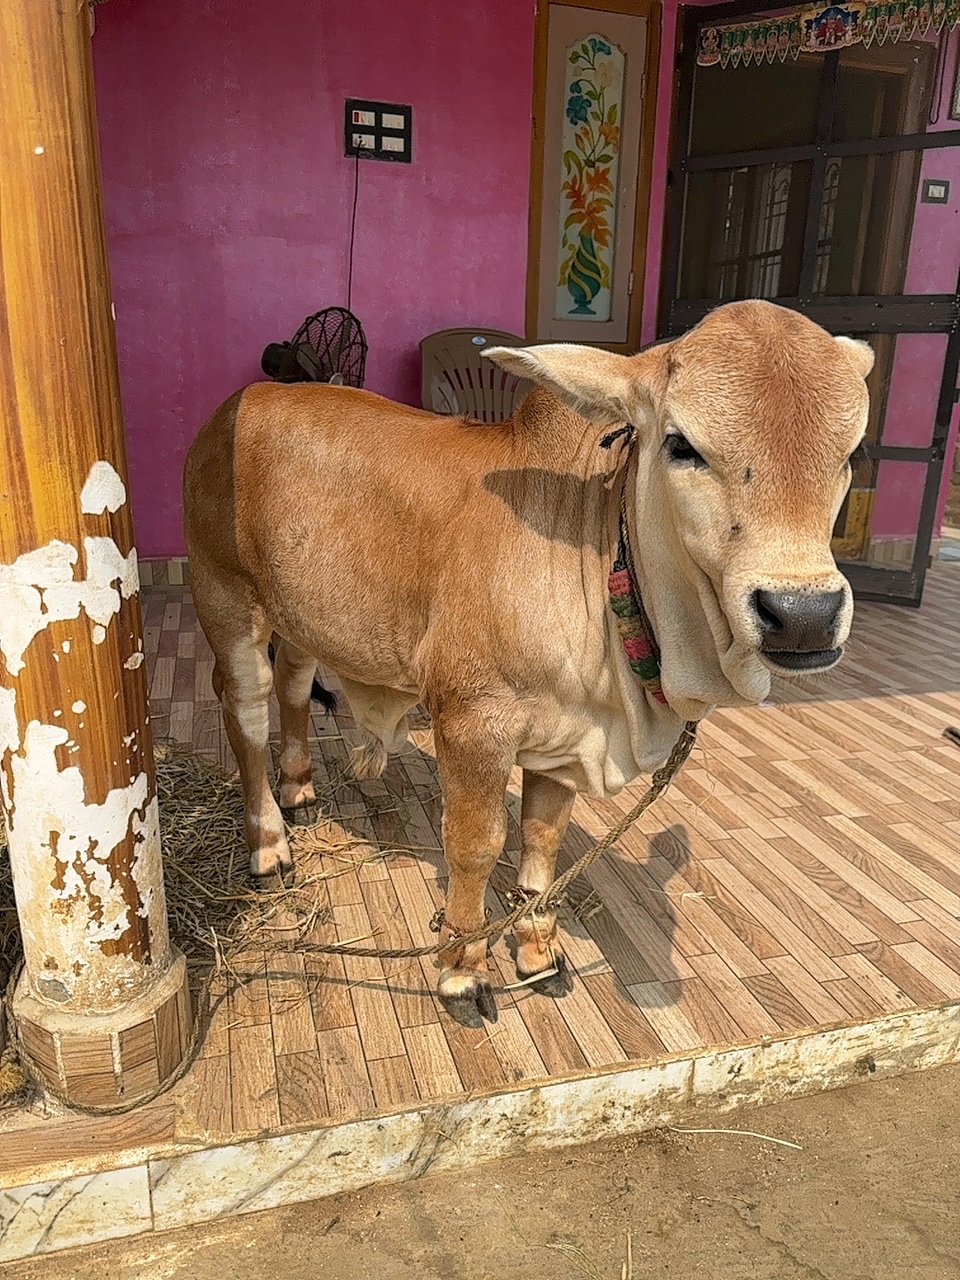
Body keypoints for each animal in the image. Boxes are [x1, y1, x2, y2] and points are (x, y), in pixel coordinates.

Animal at [183, 300, 873, 1027]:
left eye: (851, 453)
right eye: (681, 444)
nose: (804, 613)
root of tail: (246, 401)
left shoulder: (568, 735)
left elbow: (542, 837)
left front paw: (537, 952)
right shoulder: (471, 724)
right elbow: (476, 845)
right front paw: (462, 969)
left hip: (303, 616)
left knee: (292, 687)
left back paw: (299, 789)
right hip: (226, 600)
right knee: (246, 712)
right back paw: (268, 842)